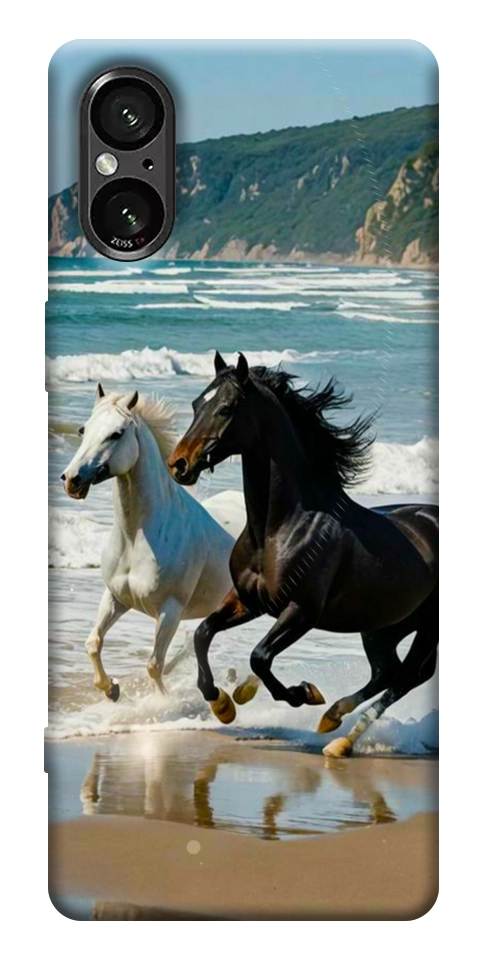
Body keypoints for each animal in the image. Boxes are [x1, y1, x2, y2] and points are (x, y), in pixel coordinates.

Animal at [61, 383, 234, 701]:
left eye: (116, 433)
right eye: (83, 429)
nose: (71, 480)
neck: (137, 538)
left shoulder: (170, 611)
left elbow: (154, 664)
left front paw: (161, 703)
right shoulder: (115, 597)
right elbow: (93, 643)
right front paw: (111, 689)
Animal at [167, 352, 438, 757]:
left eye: (227, 408)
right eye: (197, 403)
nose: (179, 464)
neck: (279, 528)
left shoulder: (302, 611)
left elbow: (260, 657)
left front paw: (302, 693)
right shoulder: (250, 601)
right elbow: (203, 633)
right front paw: (223, 704)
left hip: (425, 629)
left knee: (408, 676)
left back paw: (339, 738)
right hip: (383, 626)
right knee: (387, 672)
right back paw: (333, 721)